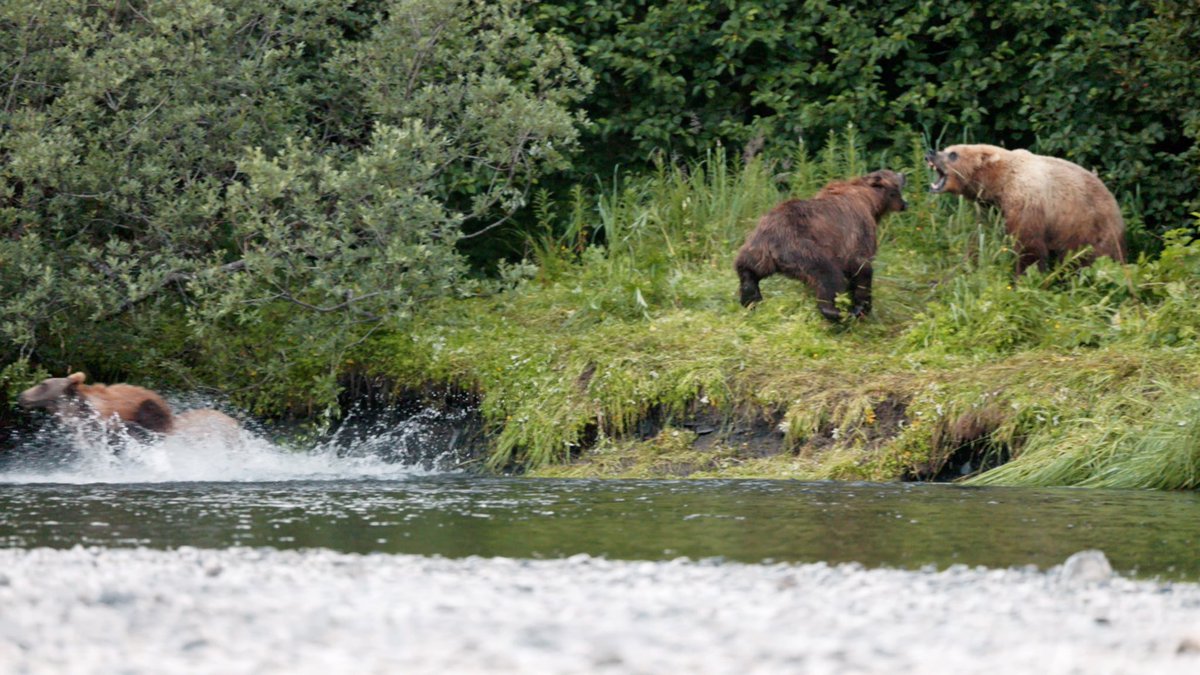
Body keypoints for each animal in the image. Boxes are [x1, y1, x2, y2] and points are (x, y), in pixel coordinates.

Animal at [735, 169, 907, 321]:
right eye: (893, 173)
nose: (904, 174)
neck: (871, 201)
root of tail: (771, 243)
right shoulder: (859, 230)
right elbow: (861, 265)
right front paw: (862, 306)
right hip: (803, 248)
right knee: (828, 274)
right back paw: (836, 312)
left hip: (756, 248)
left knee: (746, 268)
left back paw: (750, 299)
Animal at [925, 144, 1125, 274]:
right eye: (946, 148)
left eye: (953, 154)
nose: (931, 152)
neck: (1000, 181)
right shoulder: (993, 207)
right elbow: (982, 232)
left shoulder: (1027, 202)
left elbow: (1029, 246)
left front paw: (1023, 277)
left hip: (1089, 230)